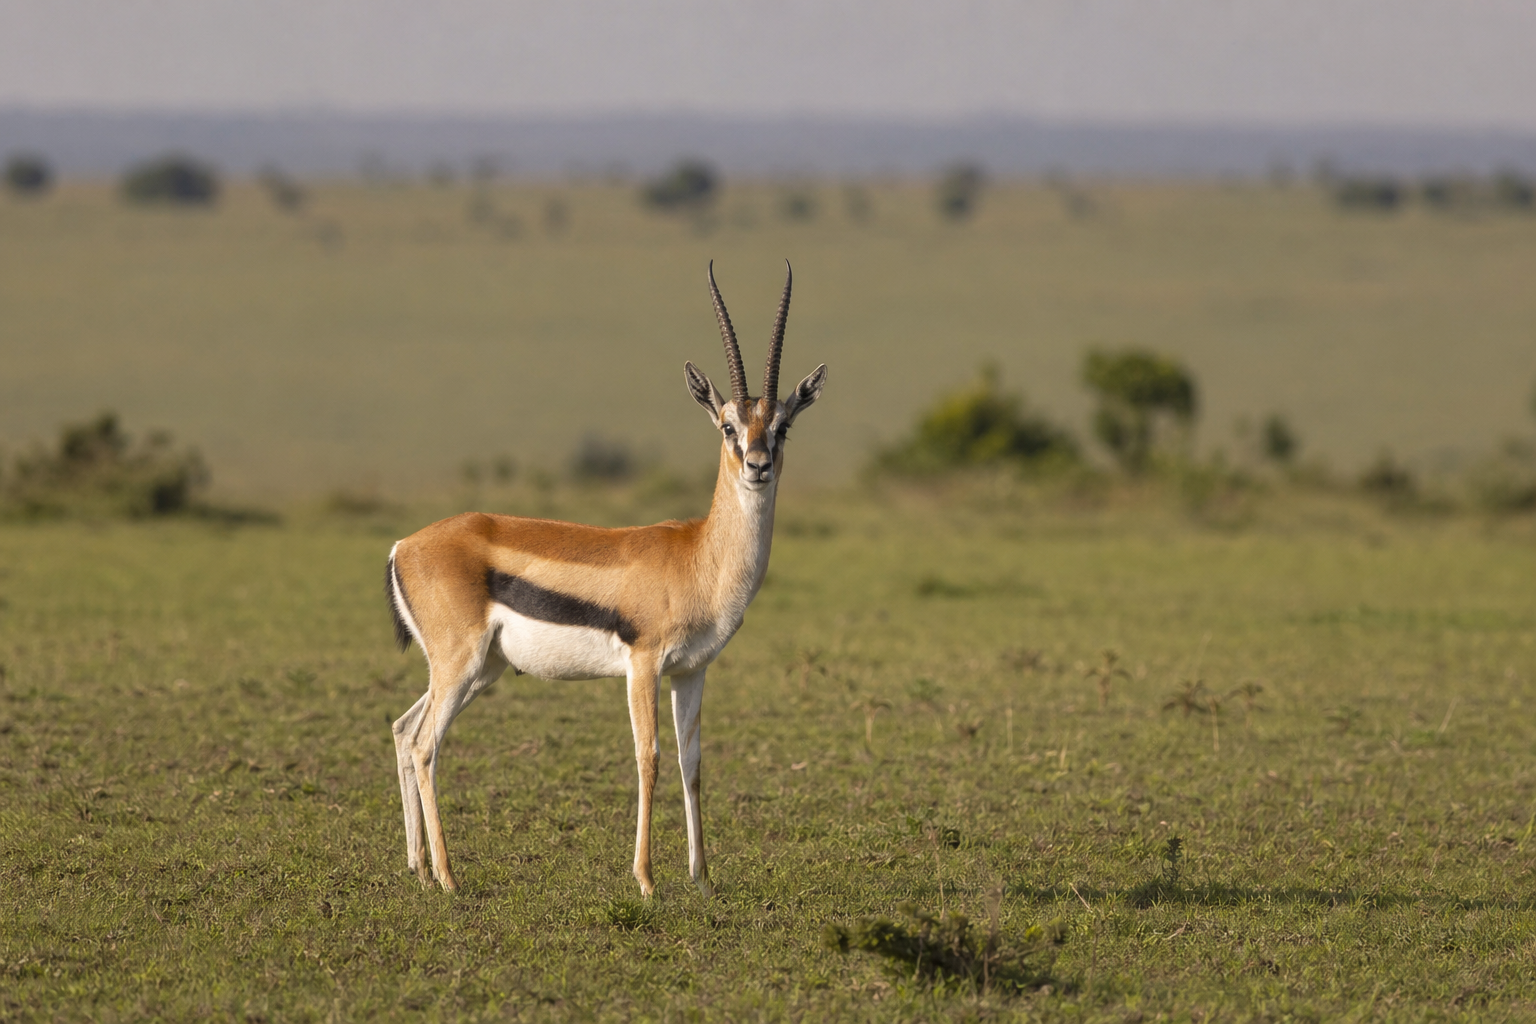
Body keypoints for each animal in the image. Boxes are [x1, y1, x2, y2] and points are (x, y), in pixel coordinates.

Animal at [385, 261, 825, 896]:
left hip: (479, 670)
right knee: (424, 745)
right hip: (459, 664)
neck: (699, 556)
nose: (758, 466)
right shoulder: (643, 664)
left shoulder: (691, 672)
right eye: (727, 425)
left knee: (402, 729)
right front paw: (646, 880)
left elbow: (693, 762)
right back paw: (447, 877)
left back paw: (419, 869)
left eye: (783, 426)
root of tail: (404, 545)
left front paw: (702, 880)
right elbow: (650, 757)